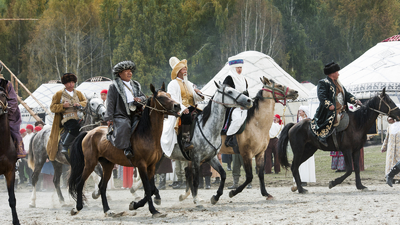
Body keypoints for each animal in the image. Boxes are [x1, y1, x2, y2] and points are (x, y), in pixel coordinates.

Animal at [69, 83, 181, 217]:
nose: (177, 105)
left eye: (169, 95)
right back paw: (77, 208)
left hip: (107, 164)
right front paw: (152, 210)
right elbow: (148, 188)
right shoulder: (142, 165)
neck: (147, 134)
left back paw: (107, 210)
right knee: (80, 183)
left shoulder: (152, 166)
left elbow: (152, 188)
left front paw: (135, 204)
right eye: (161, 97)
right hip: (90, 163)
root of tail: (88, 133)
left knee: (102, 186)